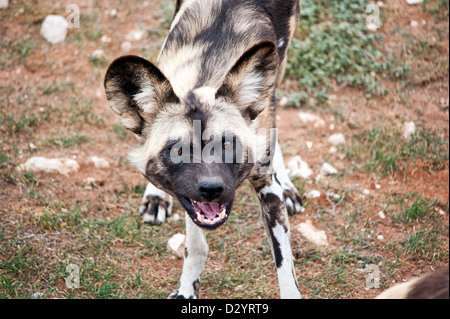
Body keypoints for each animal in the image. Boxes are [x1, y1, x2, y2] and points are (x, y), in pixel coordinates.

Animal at [103, 0, 302, 300]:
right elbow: (195, 247)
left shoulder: (267, 190)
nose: (211, 188)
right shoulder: (189, 195)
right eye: (177, 151)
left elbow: (284, 265)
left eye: (227, 144)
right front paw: (187, 288)